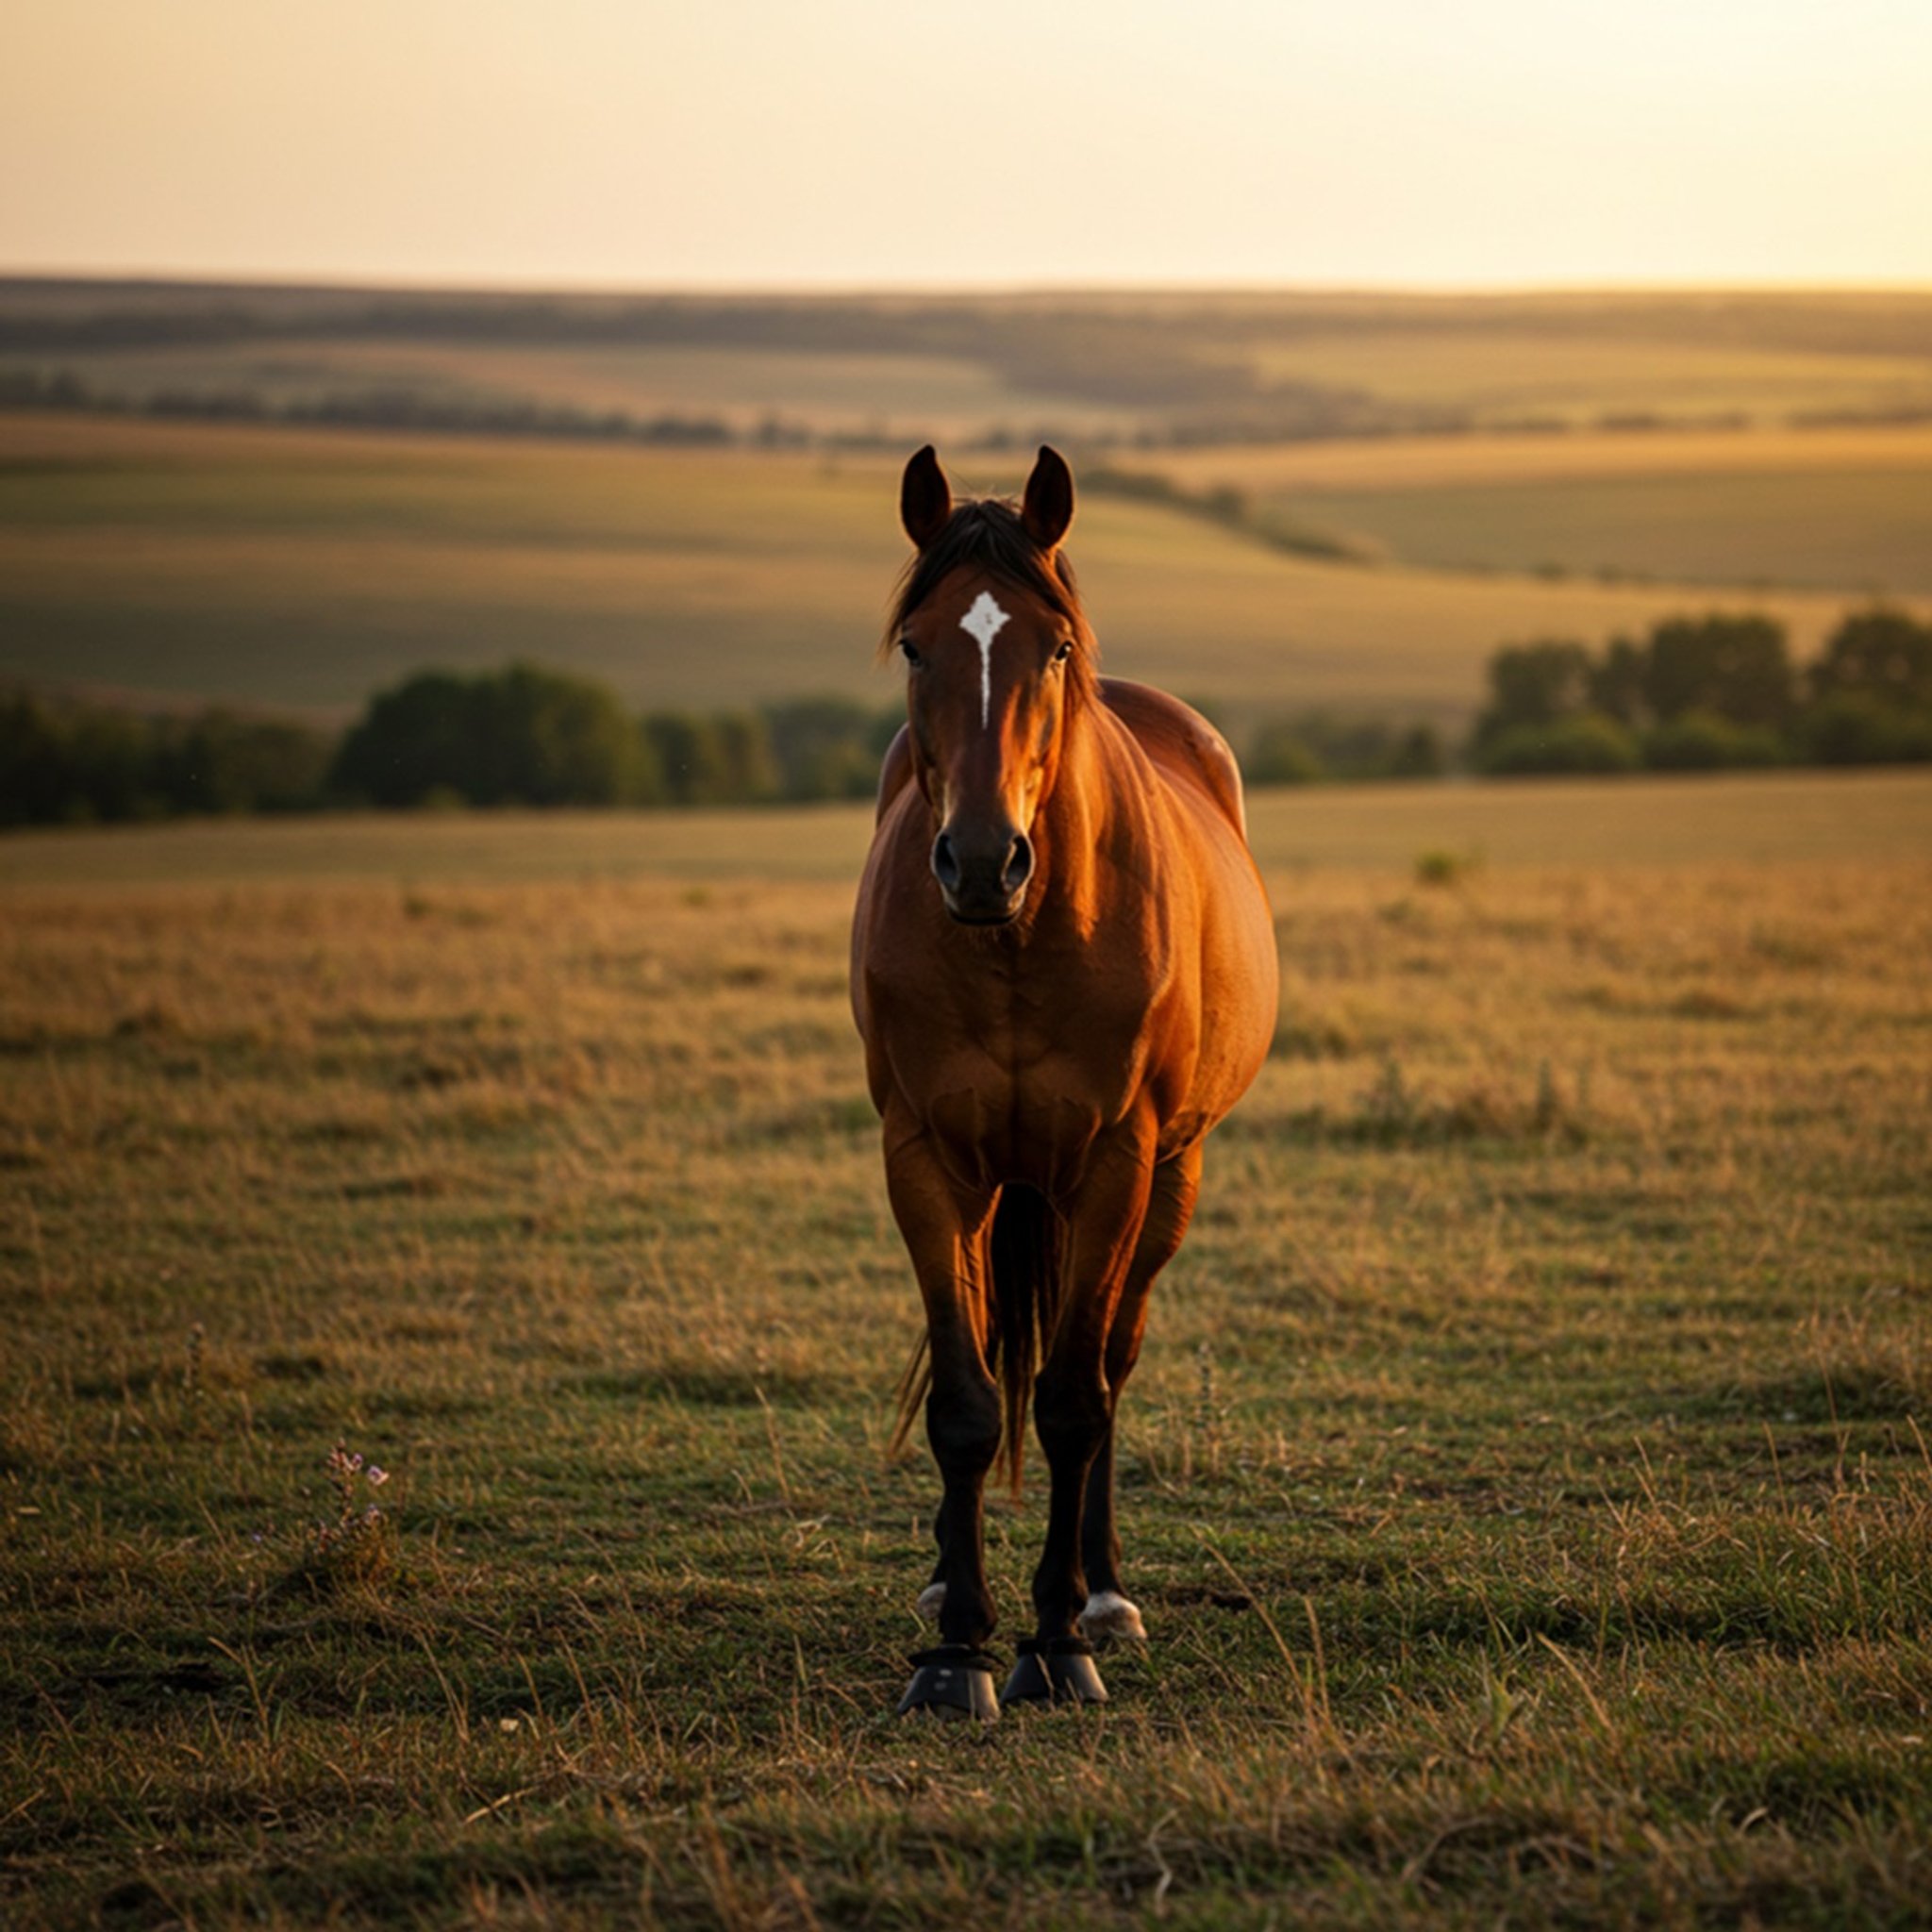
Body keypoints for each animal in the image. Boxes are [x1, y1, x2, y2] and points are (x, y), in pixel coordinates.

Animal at [851, 444, 1279, 1719]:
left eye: (1048, 648)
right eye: (915, 646)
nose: (982, 860)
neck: (1016, 938)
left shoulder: (1113, 1162)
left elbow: (1073, 1397)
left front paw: (1053, 1640)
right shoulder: (923, 1158)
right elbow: (964, 1397)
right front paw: (956, 1650)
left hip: (1168, 1176)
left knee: (1109, 1361)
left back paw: (1101, 1593)